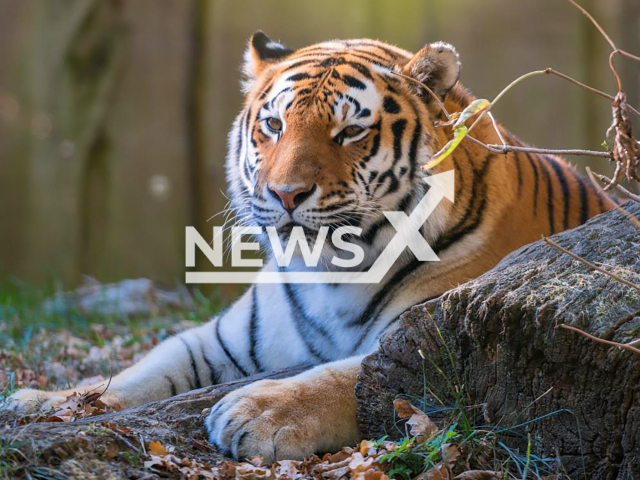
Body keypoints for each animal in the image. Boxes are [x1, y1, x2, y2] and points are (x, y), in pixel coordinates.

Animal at [8, 32, 608, 462]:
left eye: (350, 132)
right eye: (273, 124)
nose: (285, 193)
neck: (333, 271)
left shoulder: (423, 340)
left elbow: (341, 379)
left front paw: (255, 414)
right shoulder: (223, 340)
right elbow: (146, 368)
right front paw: (45, 402)